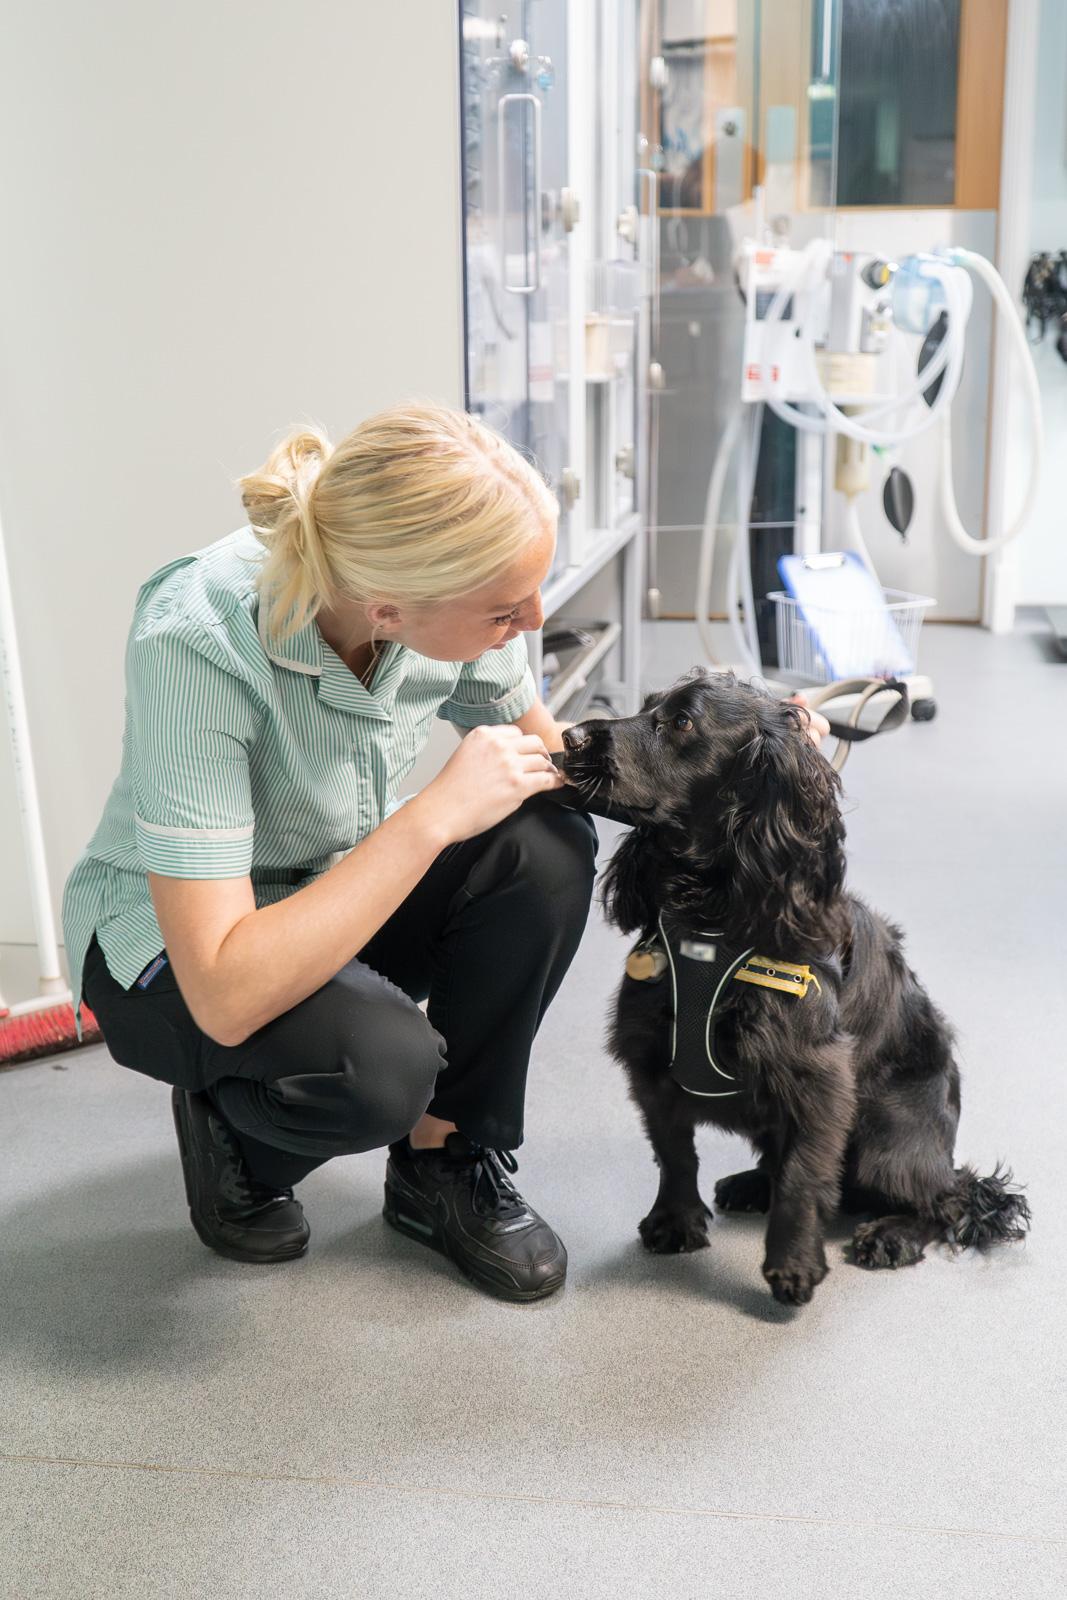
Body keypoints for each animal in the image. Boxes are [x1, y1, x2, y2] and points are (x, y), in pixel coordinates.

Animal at [563, 668, 1030, 1305]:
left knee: (945, 1198)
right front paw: (675, 1220)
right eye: (646, 706)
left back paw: (893, 1233)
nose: (569, 736)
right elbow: (675, 1153)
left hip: (889, 1132)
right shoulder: (651, 1063)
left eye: (682, 722)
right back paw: (750, 1184)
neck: (712, 918)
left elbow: (804, 1177)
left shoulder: (820, 1080)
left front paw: (793, 1264)